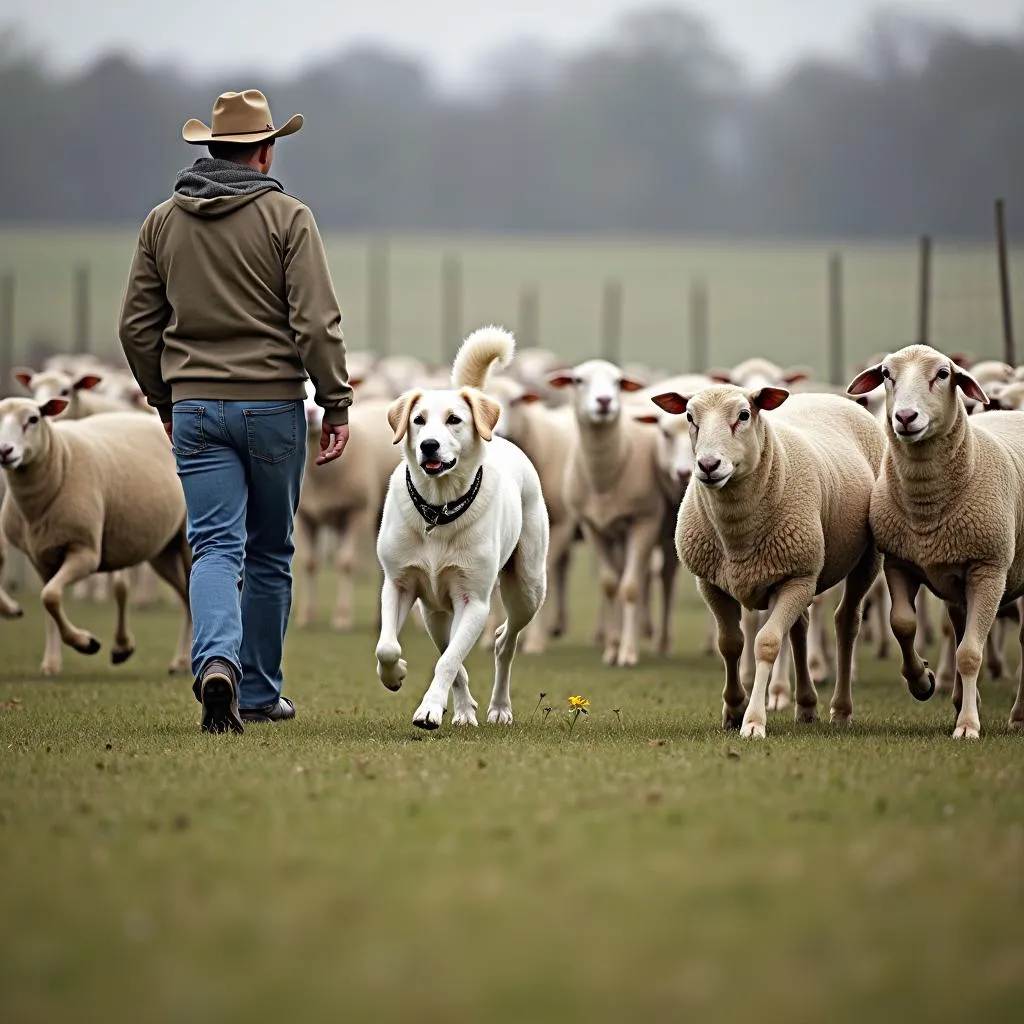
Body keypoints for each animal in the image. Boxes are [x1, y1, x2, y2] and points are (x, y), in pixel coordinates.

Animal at [0, 395, 191, 675]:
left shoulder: (85, 551)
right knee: (187, 596)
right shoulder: (40, 557)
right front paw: (52, 662)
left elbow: (51, 597)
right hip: (163, 549)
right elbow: (48, 602)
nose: (5, 451)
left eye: (33, 419)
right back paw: (180, 661)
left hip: (186, 540)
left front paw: (86, 643)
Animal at [376, 325, 552, 729]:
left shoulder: (475, 601)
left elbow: (449, 660)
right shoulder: (398, 584)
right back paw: (464, 710)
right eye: (418, 420)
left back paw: (499, 708)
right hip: (434, 612)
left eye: (454, 420)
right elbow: (390, 647)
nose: (428, 445)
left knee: (505, 642)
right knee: (455, 648)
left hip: (527, 588)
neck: (438, 511)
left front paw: (428, 709)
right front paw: (396, 676)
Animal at [655, 385, 888, 737]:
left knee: (846, 622)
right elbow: (730, 643)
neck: (737, 536)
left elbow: (765, 643)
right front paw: (733, 709)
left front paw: (753, 722)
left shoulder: (796, 577)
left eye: (743, 415)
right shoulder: (711, 583)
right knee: (800, 626)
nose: (708, 465)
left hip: (862, 560)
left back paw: (841, 709)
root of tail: (829, 395)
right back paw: (806, 705)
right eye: (689, 416)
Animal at [843, 344, 1024, 737]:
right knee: (957, 625)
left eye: (943, 374)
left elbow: (970, 653)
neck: (928, 511)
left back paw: (1016, 715)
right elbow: (903, 624)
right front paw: (921, 681)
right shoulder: (899, 562)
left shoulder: (989, 571)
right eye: (885, 374)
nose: (905, 416)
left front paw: (968, 726)